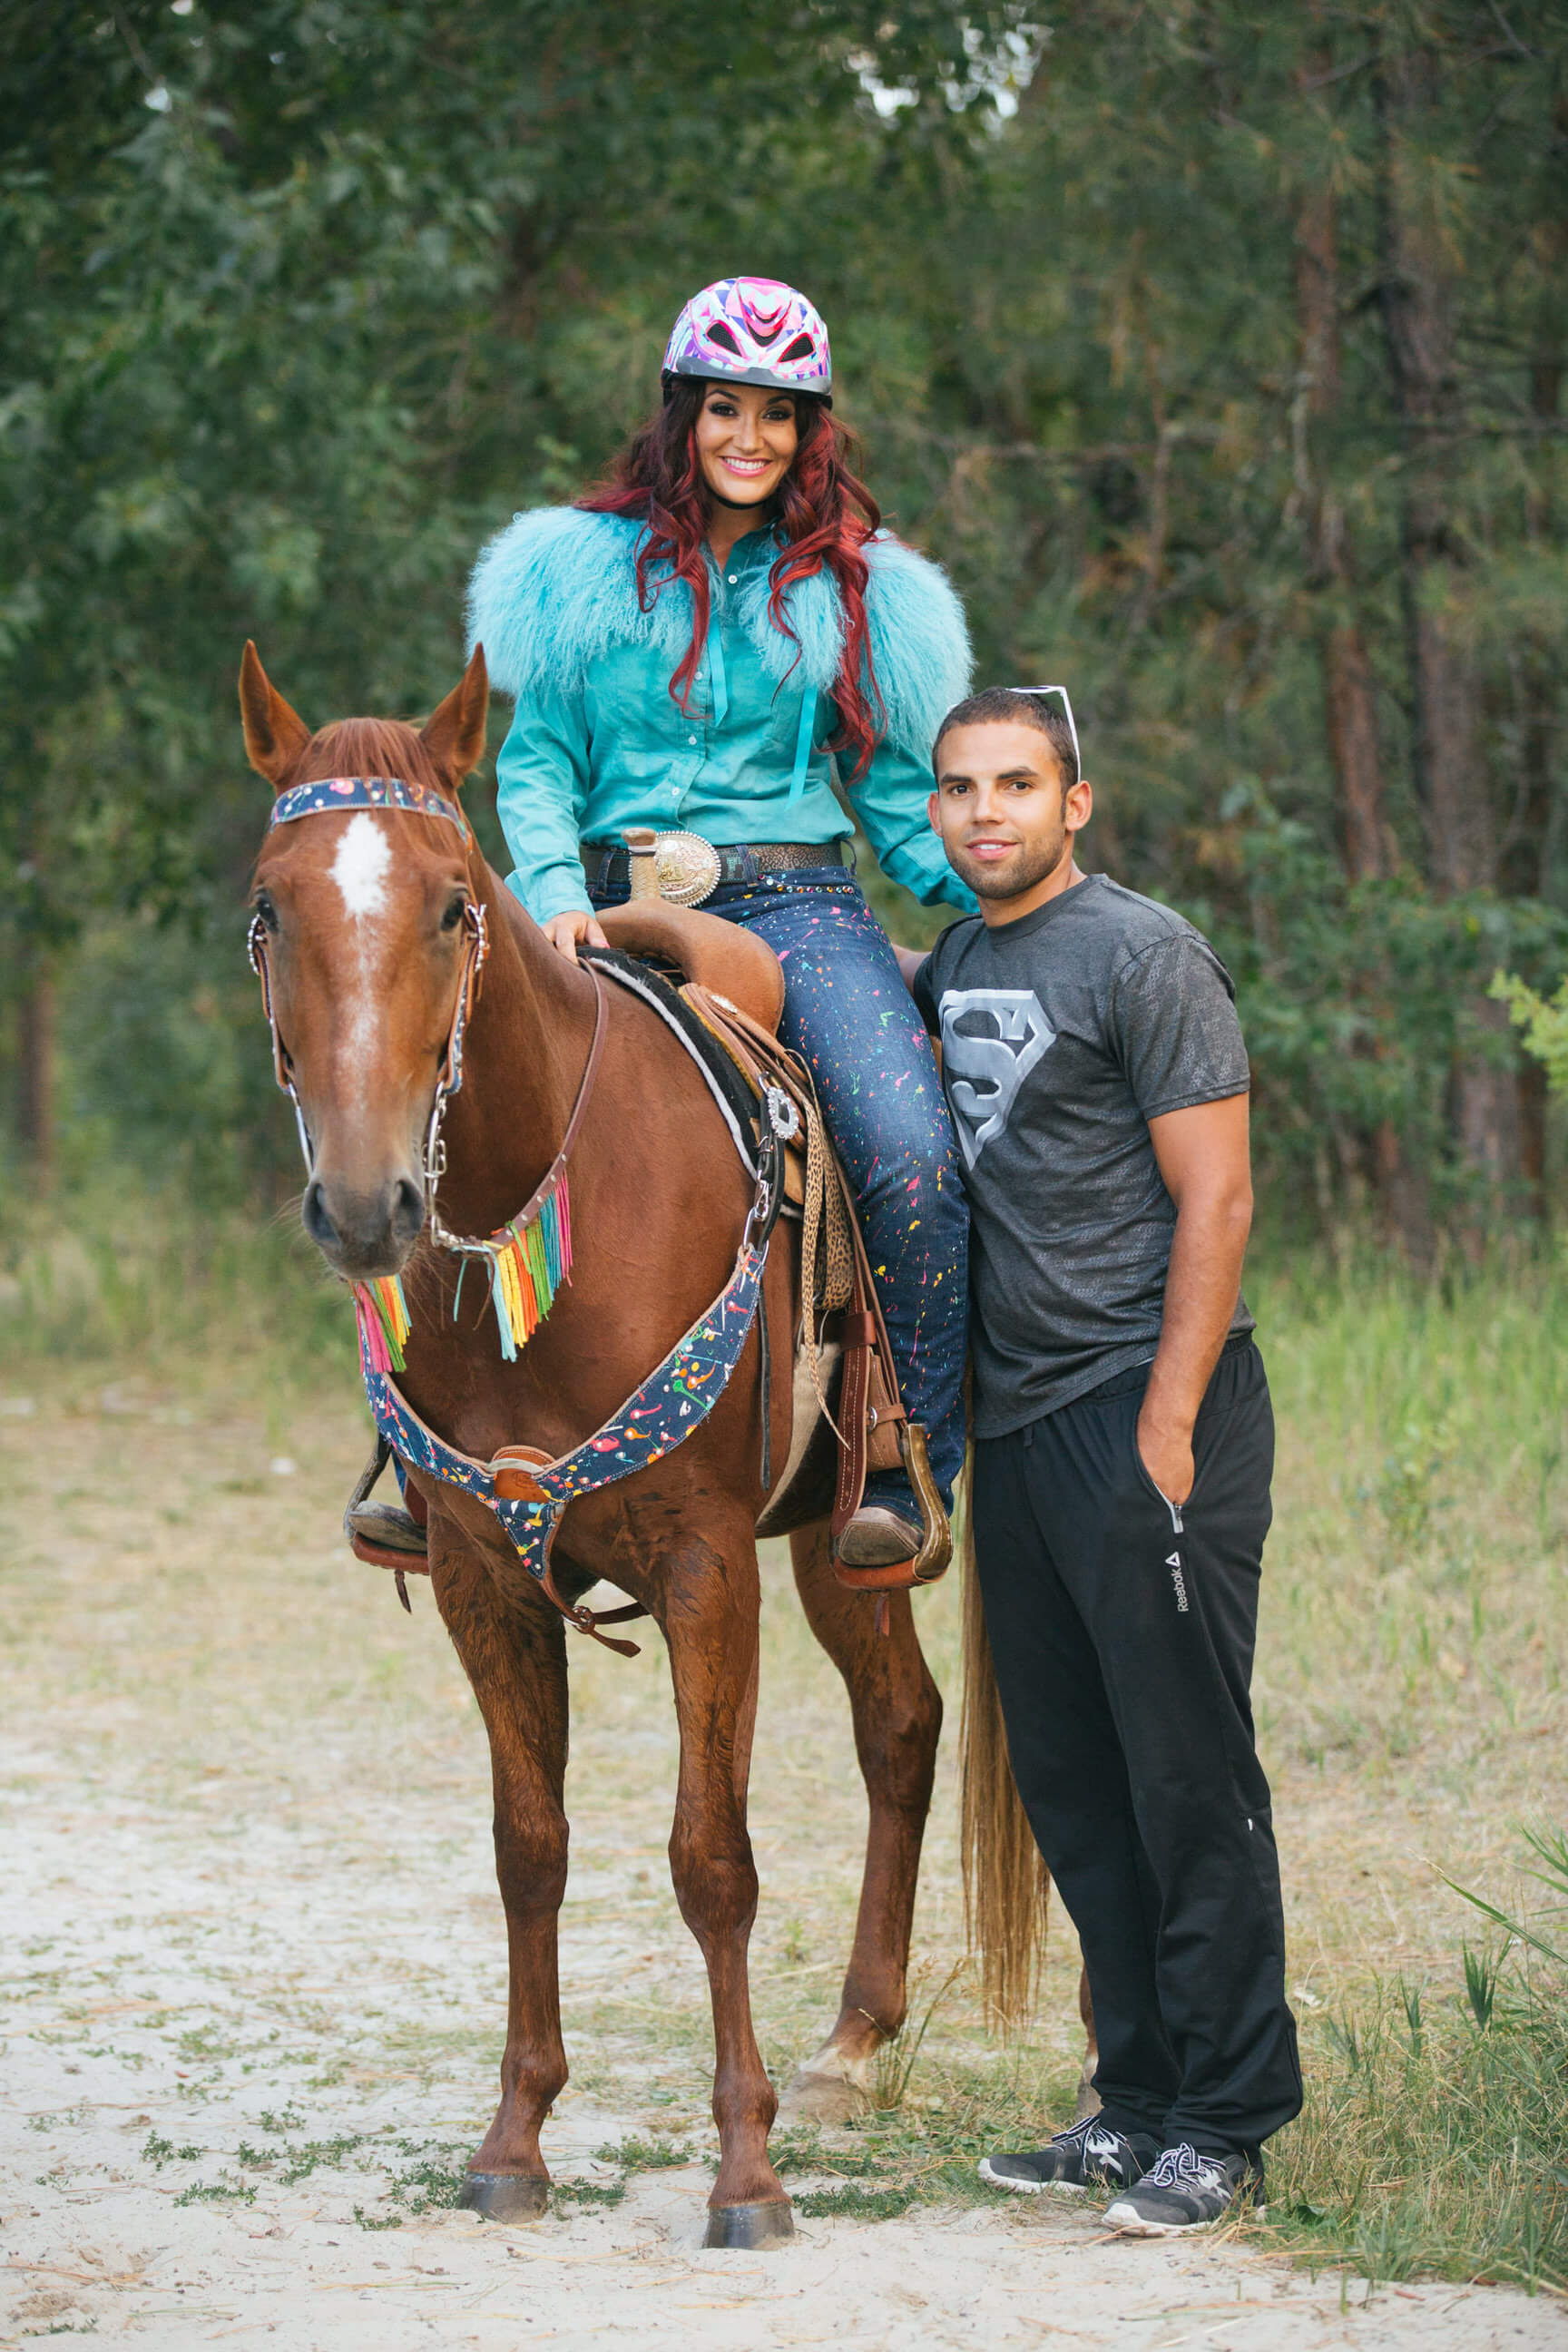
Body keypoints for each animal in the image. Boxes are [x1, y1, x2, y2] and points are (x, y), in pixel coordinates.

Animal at [240, 640, 973, 2239]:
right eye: (269, 910)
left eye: (454, 904)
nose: (368, 1205)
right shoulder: (483, 1576)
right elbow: (530, 1848)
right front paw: (515, 2139)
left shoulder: (706, 1567)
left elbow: (713, 1859)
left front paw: (746, 2170)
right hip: (837, 1538)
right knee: (902, 1722)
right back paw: (854, 2042)